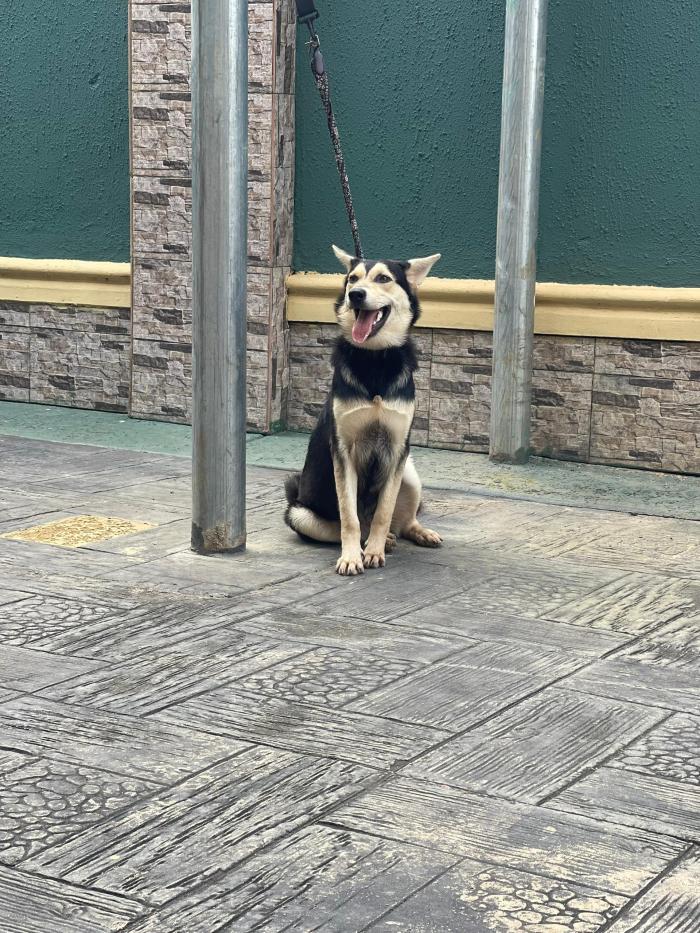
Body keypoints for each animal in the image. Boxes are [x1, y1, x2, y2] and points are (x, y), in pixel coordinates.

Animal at [284, 245, 443, 575]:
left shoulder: (397, 450)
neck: (375, 359)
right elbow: (349, 517)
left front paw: (375, 551)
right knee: (345, 526)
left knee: (401, 522)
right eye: (352, 279)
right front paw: (351, 556)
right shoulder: (343, 452)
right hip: (300, 514)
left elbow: (384, 511)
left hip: (410, 475)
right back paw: (373, 542)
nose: (355, 294)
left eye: (383, 278)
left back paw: (409, 534)